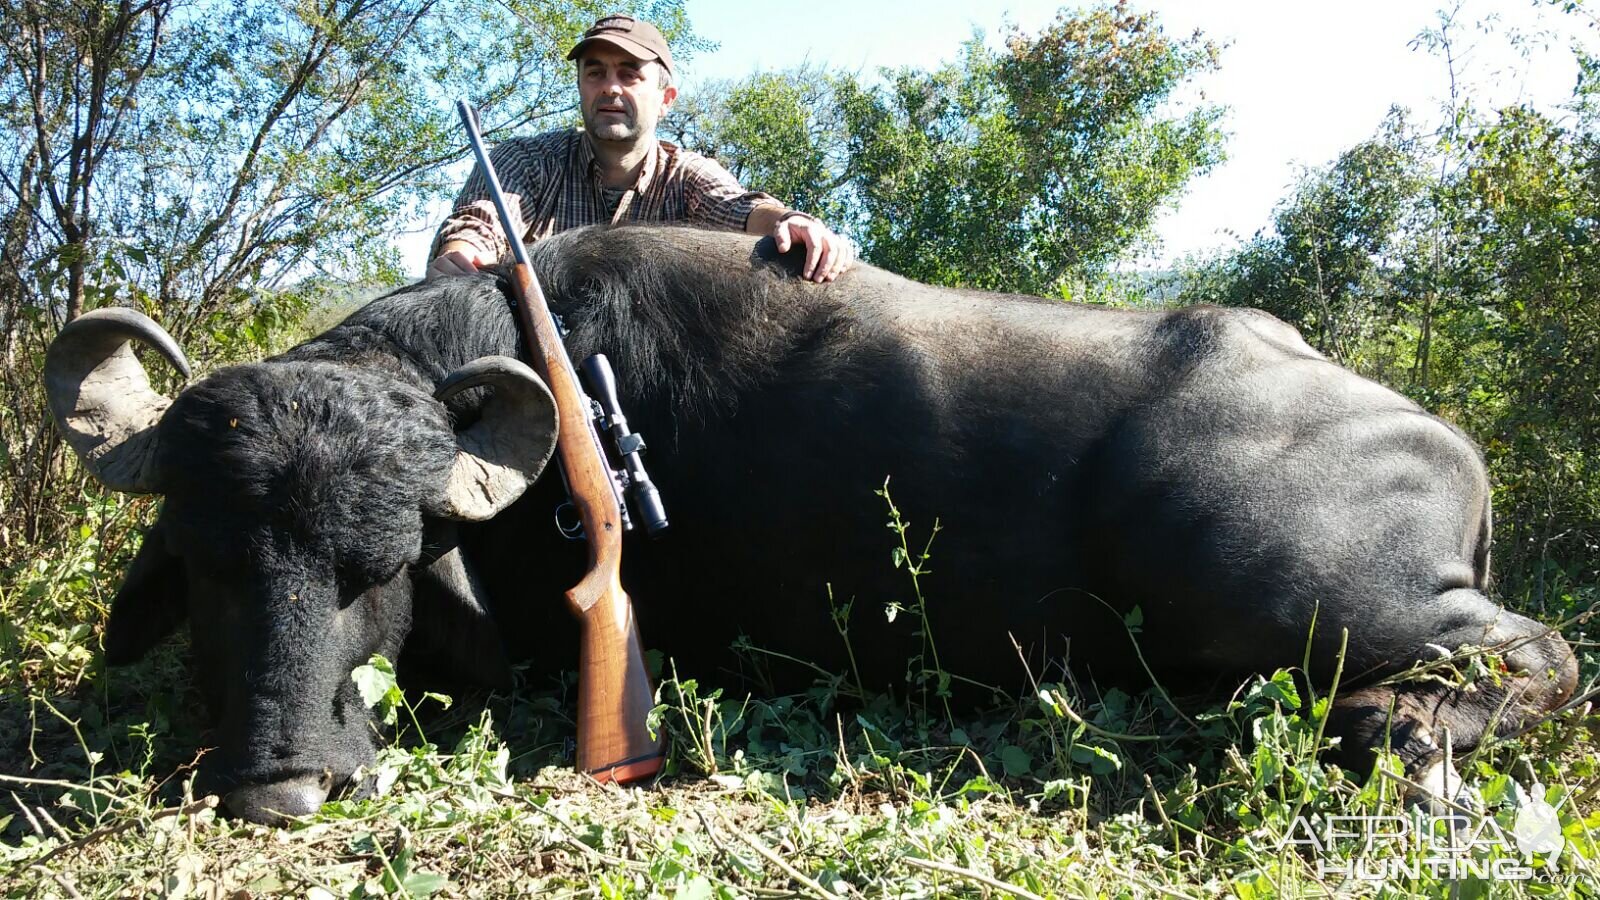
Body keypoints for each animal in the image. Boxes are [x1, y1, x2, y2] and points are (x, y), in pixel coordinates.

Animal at [46, 224, 1574, 819]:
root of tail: (1446, 440)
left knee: (1533, 656)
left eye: (380, 568)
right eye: (209, 564)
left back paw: (1396, 736)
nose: (279, 785)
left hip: (1305, 596)